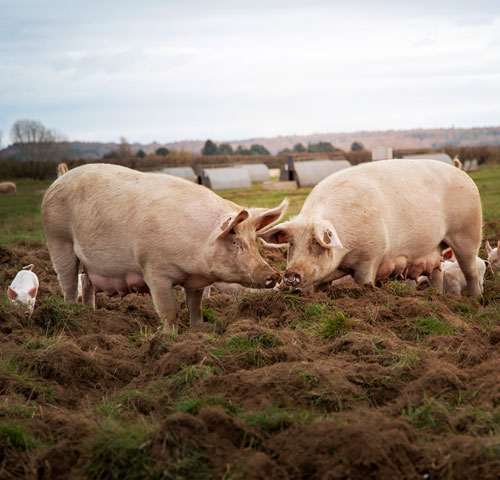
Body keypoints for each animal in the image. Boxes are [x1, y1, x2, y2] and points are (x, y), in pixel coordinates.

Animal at [41, 163, 288, 332]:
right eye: (235, 242)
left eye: (254, 241)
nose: (274, 274)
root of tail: (59, 179)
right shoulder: (154, 270)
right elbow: (169, 310)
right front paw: (169, 337)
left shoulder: (196, 281)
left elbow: (195, 306)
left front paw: (198, 331)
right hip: (58, 240)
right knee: (68, 283)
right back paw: (74, 314)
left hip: (87, 260)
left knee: (86, 281)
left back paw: (90, 314)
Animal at [260, 159, 482, 298]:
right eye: (291, 244)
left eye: (316, 242)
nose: (290, 273)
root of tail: (462, 172)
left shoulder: (371, 255)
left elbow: (364, 281)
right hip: (436, 247)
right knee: (436, 272)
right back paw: (437, 297)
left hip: (468, 232)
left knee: (470, 271)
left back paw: (476, 301)